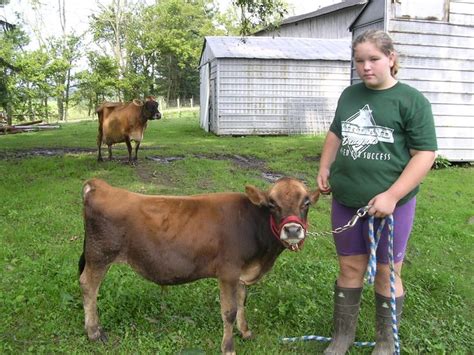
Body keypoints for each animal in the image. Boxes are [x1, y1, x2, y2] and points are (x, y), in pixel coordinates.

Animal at [79, 177, 320, 354]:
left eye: (306, 202)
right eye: (272, 204)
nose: (292, 230)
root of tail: (100, 185)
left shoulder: (242, 273)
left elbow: (242, 302)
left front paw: (245, 332)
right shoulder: (228, 272)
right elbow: (229, 311)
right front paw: (228, 348)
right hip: (99, 256)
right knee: (88, 286)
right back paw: (94, 332)